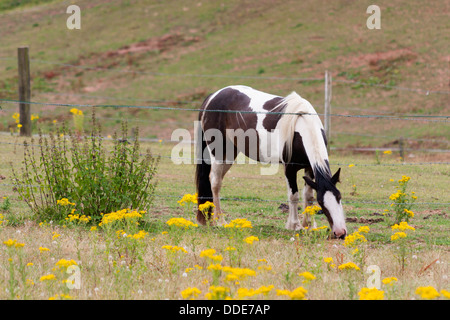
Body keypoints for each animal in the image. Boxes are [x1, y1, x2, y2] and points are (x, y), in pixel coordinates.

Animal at [194, 86, 348, 239]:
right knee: (215, 183)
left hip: (230, 155)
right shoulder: (290, 169)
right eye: (321, 202)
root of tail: (212, 97)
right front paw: (295, 225)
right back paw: (220, 221)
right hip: (218, 153)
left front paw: (308, 225)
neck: (301, 126)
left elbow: (308, 196)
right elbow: (294, 196)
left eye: (339, 196)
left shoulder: (309, 168)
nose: (340, 233)